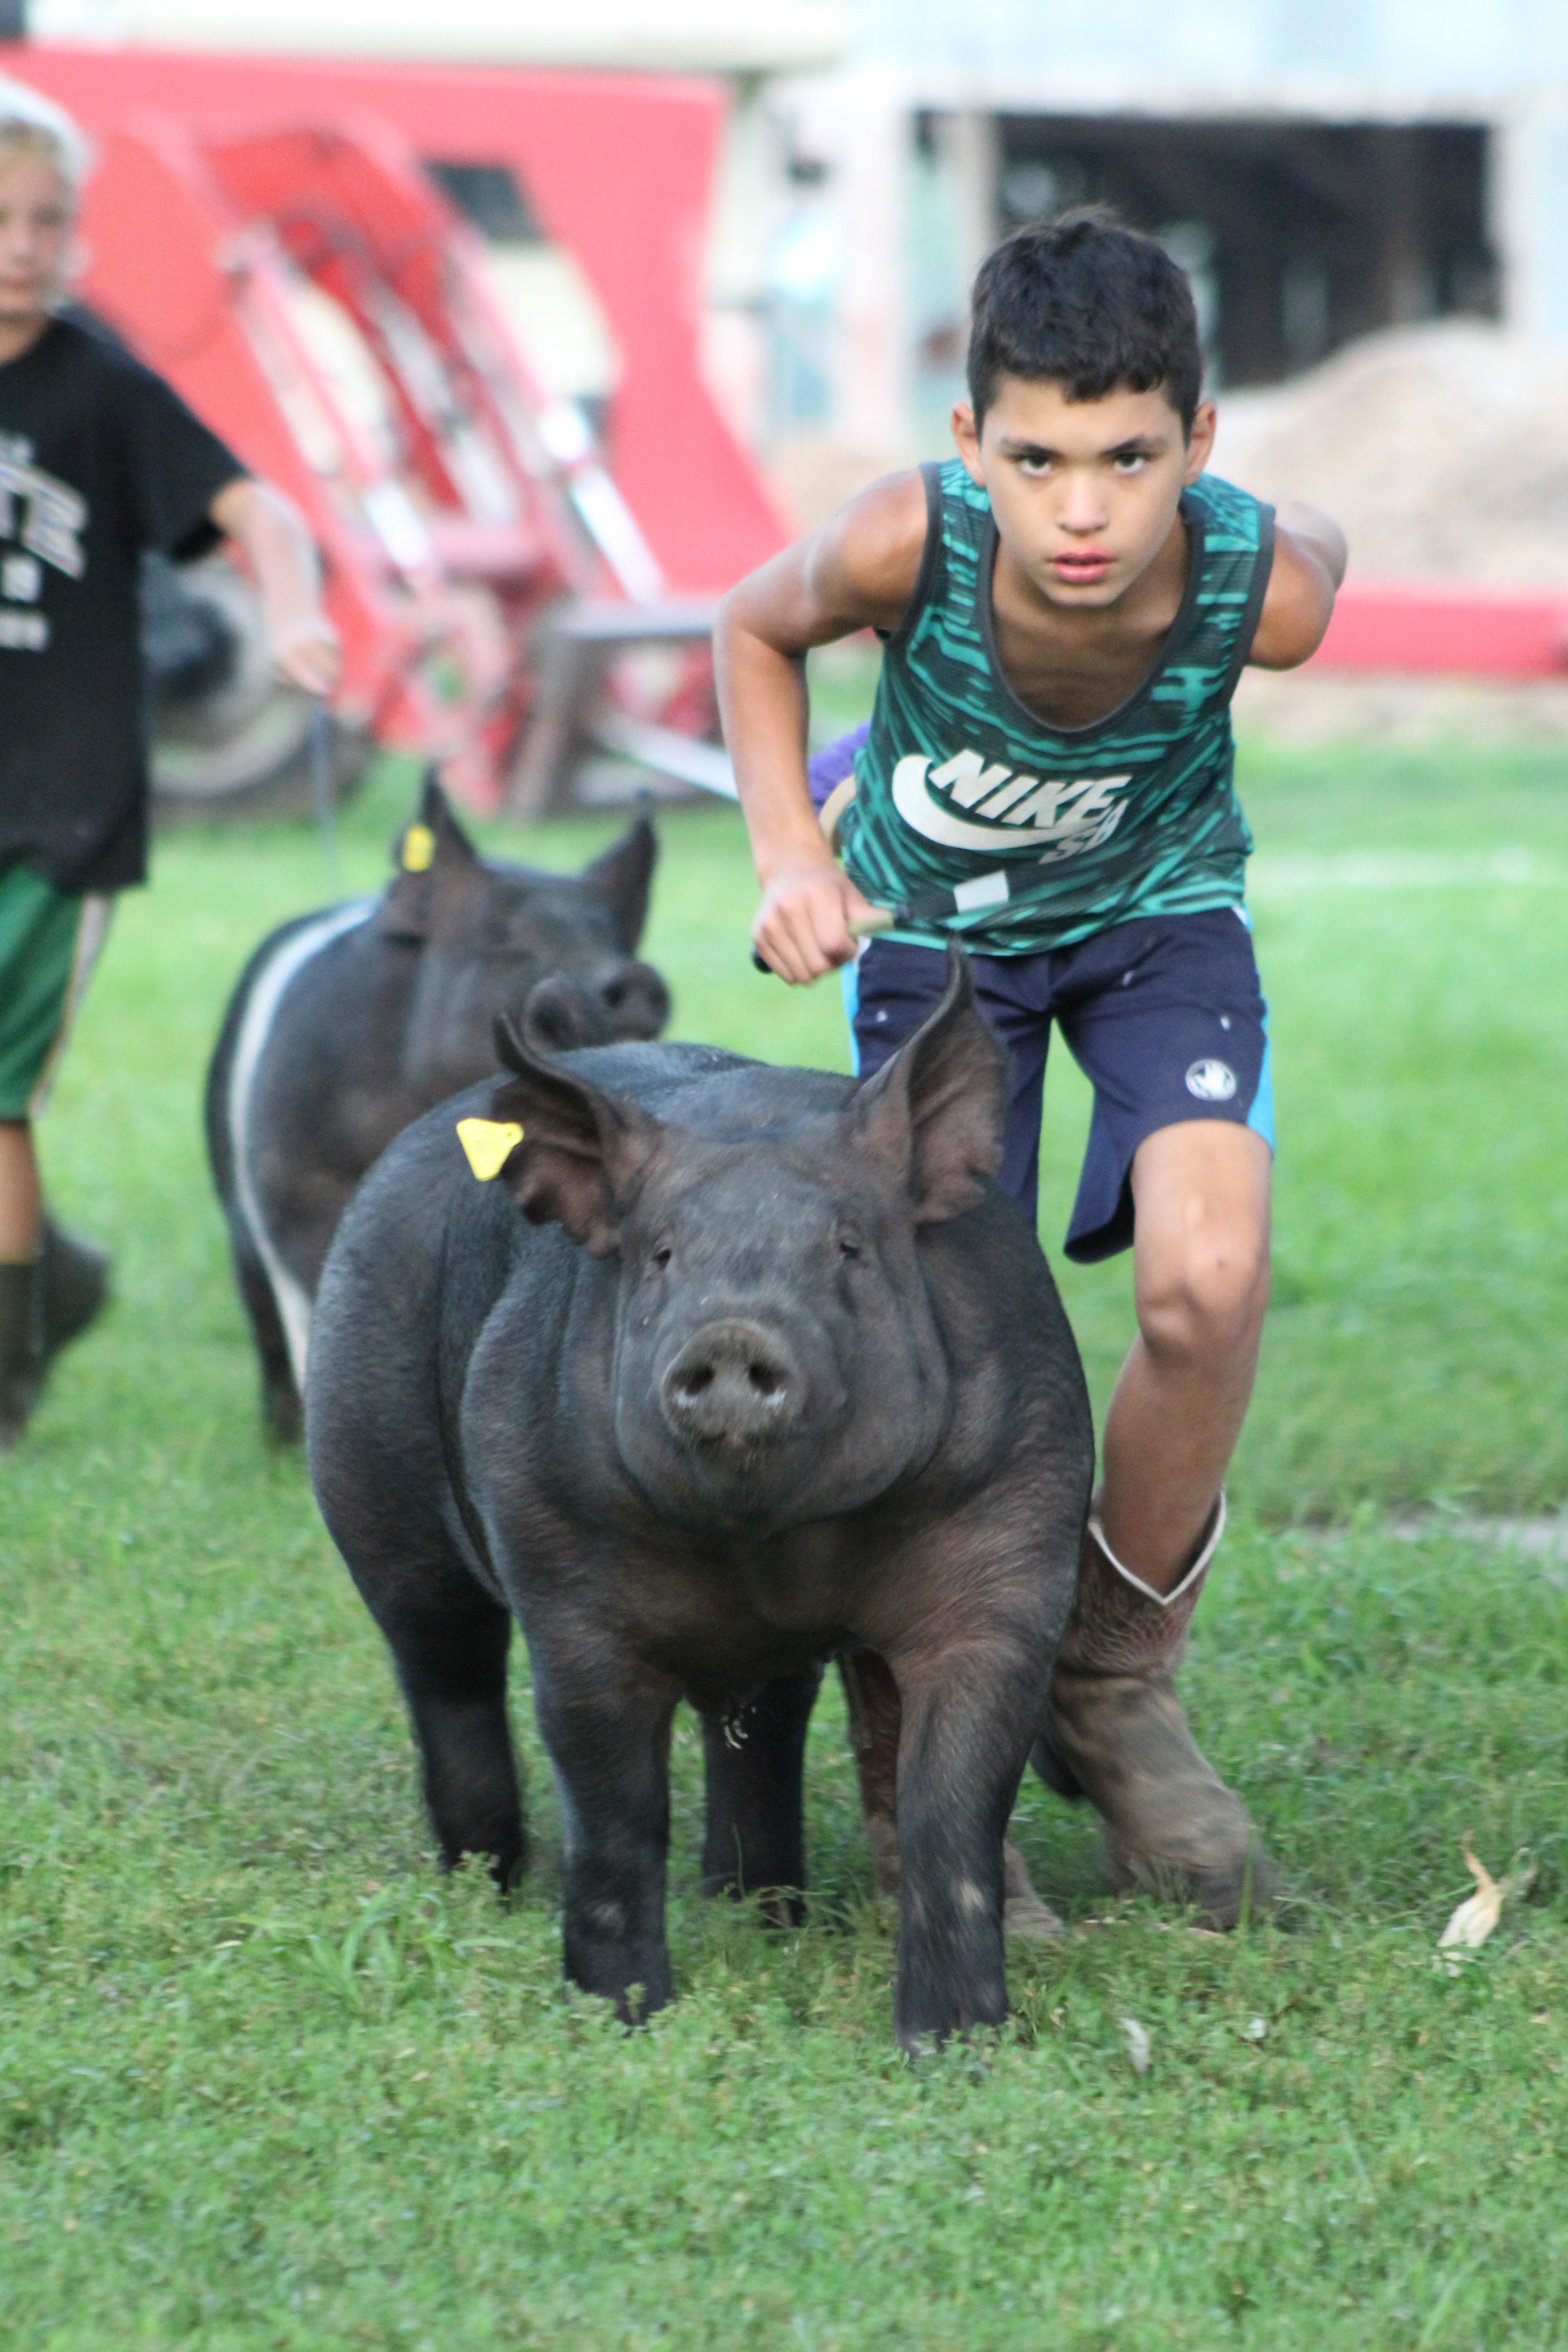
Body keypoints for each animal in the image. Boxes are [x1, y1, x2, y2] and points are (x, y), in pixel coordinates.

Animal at [305, 945, 1091, 2051]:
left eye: (848, 1247)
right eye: (663, 1253)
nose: (731, 1332)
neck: (777, 1548)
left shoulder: (1017, 1530)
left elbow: (954, 1799)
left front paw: (953, 2046)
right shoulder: (562, 1573)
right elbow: (612, 1802)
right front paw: (623, 2018)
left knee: (763, 1720)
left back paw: (762, 1910)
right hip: (366, 1468)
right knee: (444, 1672)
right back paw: (486, 1886)